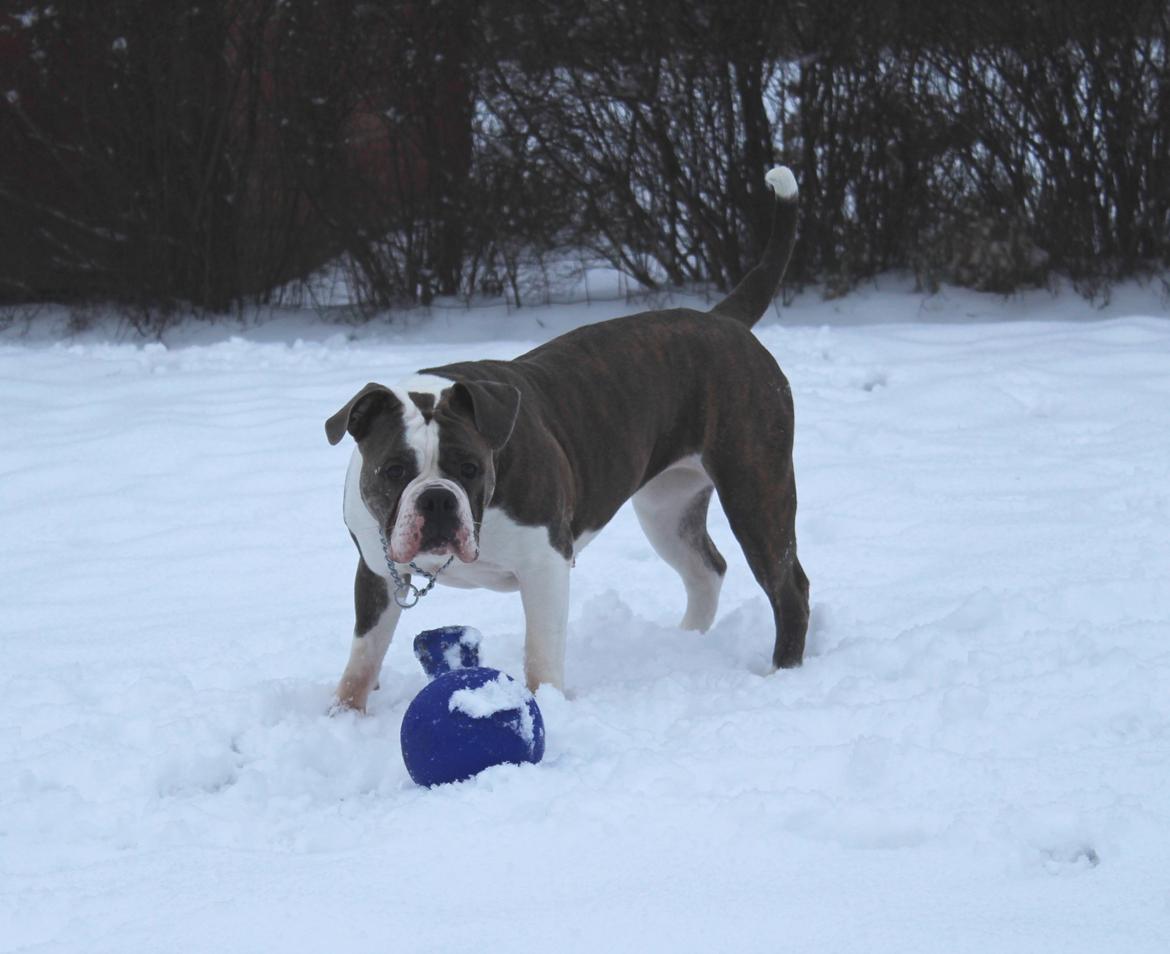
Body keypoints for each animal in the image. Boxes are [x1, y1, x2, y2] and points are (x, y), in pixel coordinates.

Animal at [325, 167, 809, 711]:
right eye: (393, 471)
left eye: (470, 468)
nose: (436, 500)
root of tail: (722, 319)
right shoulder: (377, 571)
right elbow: (363, 657)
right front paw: (343, 715)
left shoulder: (545, 566)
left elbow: (541, 655)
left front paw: (548, 705)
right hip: (667, 506)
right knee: (707, 569)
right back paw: (687, 642)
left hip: (756, 488)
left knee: (788, 584)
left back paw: (782, 673)